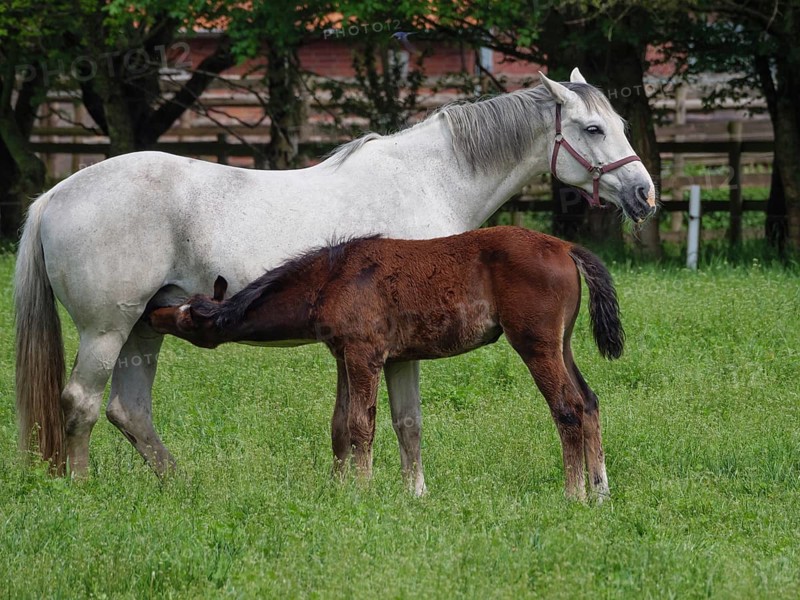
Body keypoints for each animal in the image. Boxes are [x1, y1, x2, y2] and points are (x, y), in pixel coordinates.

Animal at [145, 226, 623, 501]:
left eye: (190, 317)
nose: (153, 312)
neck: (332, 278)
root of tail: (565, 246)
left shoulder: (364, 355)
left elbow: (361, 425)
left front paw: (362, 492)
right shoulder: (349, 357)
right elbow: (342, 425)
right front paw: (340, 491)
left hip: (535, 345)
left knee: (567, 408)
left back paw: (574, 495)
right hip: (561, 344)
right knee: (589, 401)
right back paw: (601, 492)